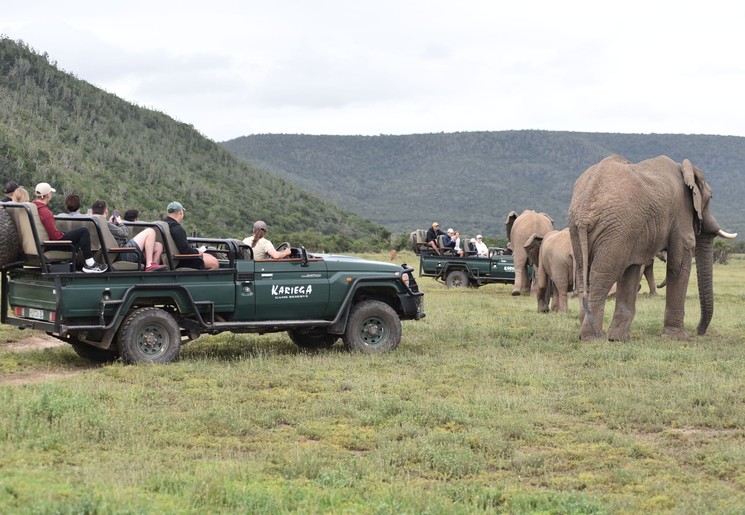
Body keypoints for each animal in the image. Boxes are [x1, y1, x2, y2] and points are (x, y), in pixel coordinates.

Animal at [568, 157, 736, 342]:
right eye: (710, 197)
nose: (699, 331)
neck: (685, 168)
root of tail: (585, 211)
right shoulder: (681, 210)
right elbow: (679, 264)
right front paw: (678, 338)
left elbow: (633, 270)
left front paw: (618, 339)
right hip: (616, 229)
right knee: (603, 276)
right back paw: (593, 338)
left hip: (587, 229)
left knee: (586, 274)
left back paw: (589, 335)